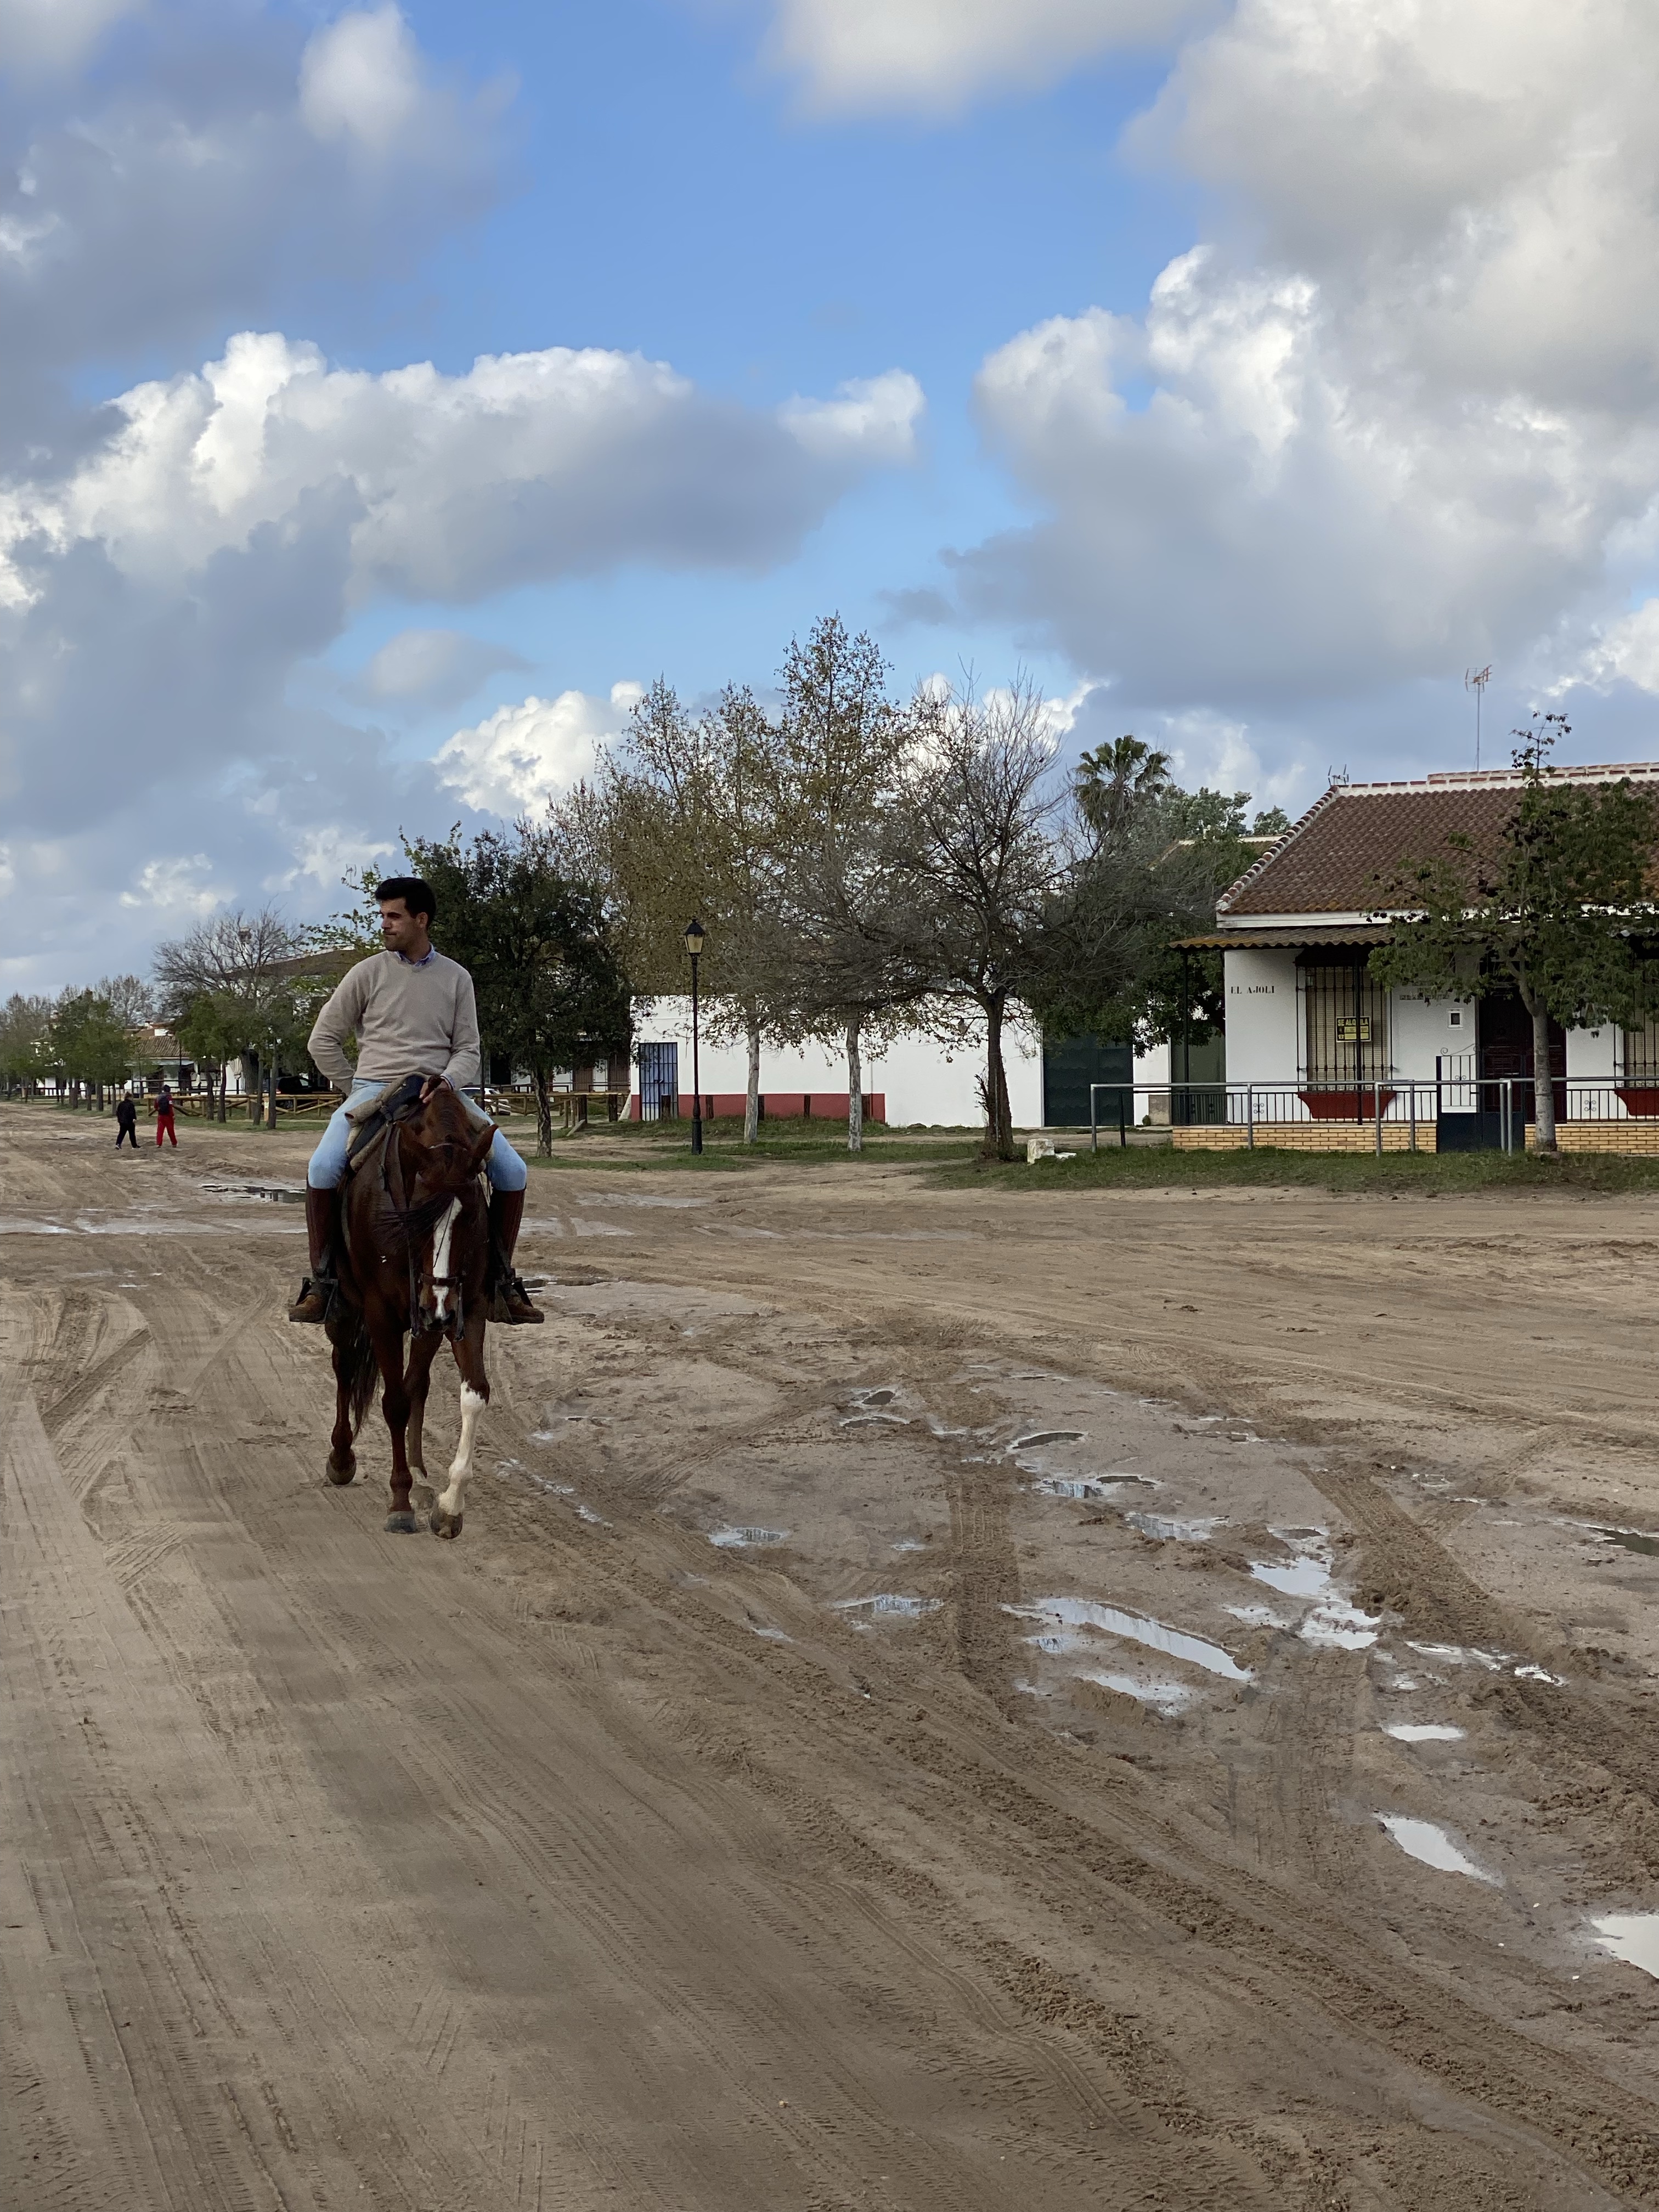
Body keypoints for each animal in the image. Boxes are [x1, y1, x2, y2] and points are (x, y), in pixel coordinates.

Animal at [322, 1078, 498, 1538]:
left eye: (472, 1218)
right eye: (417, 1216)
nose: (439, 1306)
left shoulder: (467, 1308)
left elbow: (474, 1394)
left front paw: (449, 1506)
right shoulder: (380, 1312)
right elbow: (394, 1403)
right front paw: (400, 1503)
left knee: (416, 1380)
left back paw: (419, 1476)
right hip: (348, 1309)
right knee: (344, 1364)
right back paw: (342, 1458)